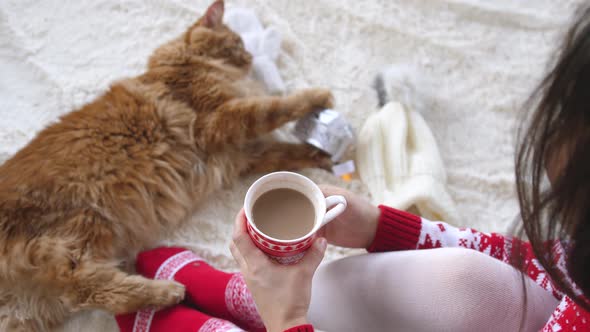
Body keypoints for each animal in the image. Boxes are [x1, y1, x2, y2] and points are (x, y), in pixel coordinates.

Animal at [0, 1, 332, 330]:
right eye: (236, 43)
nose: (249, 57)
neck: (187, 64)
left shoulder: (243, 153)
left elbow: (284, 153)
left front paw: (320, 156)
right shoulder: (220, 122)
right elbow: (276, 106)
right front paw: (318, 96)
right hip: (79, 230)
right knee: (88, 290)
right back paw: (166, 291)